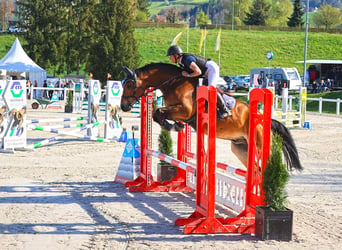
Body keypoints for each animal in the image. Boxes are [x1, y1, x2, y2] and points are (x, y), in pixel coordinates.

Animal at [120, 62, 302, 172]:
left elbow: (159, 112)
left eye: (129, 84)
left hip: (259, 145)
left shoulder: (185, 111)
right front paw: (176, 125)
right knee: (256, 169)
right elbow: (158, 114)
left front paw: (172, 125)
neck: (174, 83)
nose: (123, 106)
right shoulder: (177, 111)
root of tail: (267, 121)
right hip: (241, 147)